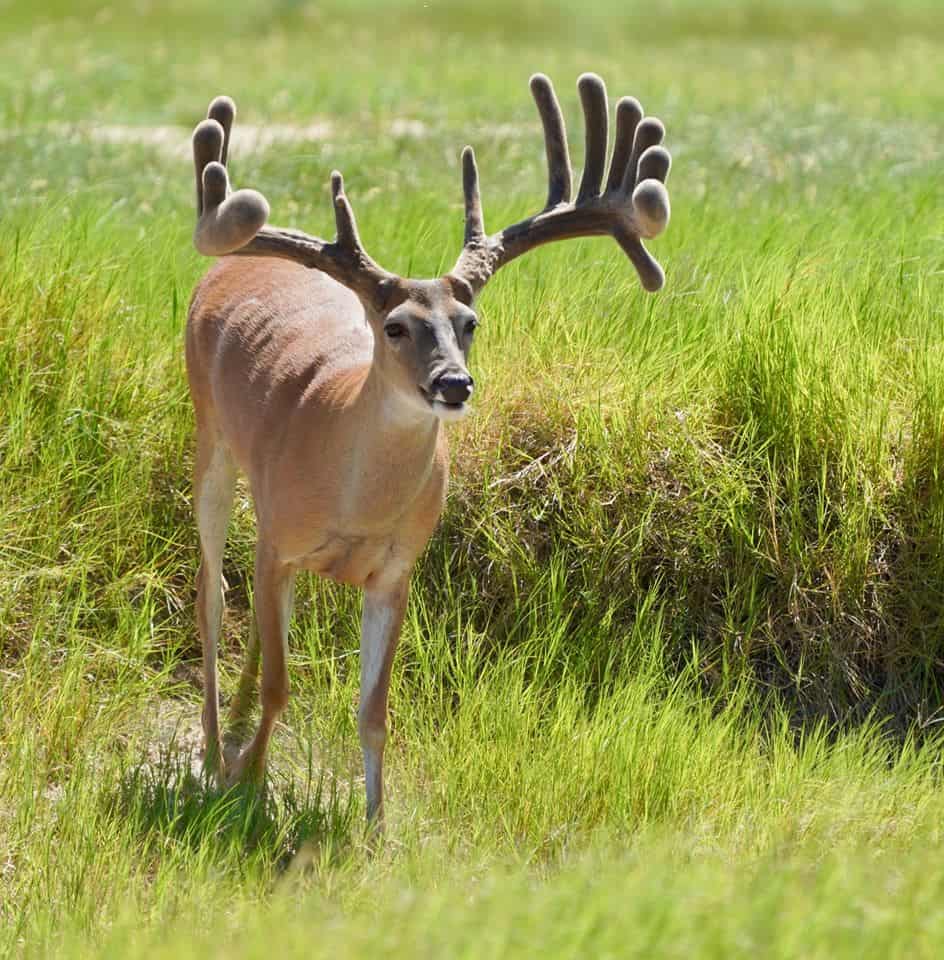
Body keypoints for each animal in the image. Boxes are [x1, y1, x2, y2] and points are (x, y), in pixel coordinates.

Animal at [185, 72, 672, 830]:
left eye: (468, 322)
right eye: (394, 326)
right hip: (210, 437)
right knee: (212, 593)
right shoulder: (278, 540)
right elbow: (279, 684)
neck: (355, 499)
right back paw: (212, 752)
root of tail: (226, 269)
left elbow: (374, 711)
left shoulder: (396, 568)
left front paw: (376, 826)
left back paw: (232, 741)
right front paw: (246, 786)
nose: (454, 383)